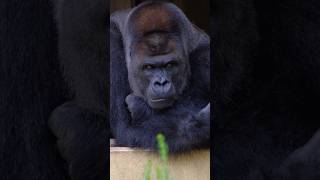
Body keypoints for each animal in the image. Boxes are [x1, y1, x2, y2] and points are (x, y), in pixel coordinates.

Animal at [109, 2, 210, 153]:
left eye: (170, 65)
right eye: (148, 67)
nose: (161, 83)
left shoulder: (205, 54)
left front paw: (140, 108)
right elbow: (125, 127)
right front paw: (204, 122)